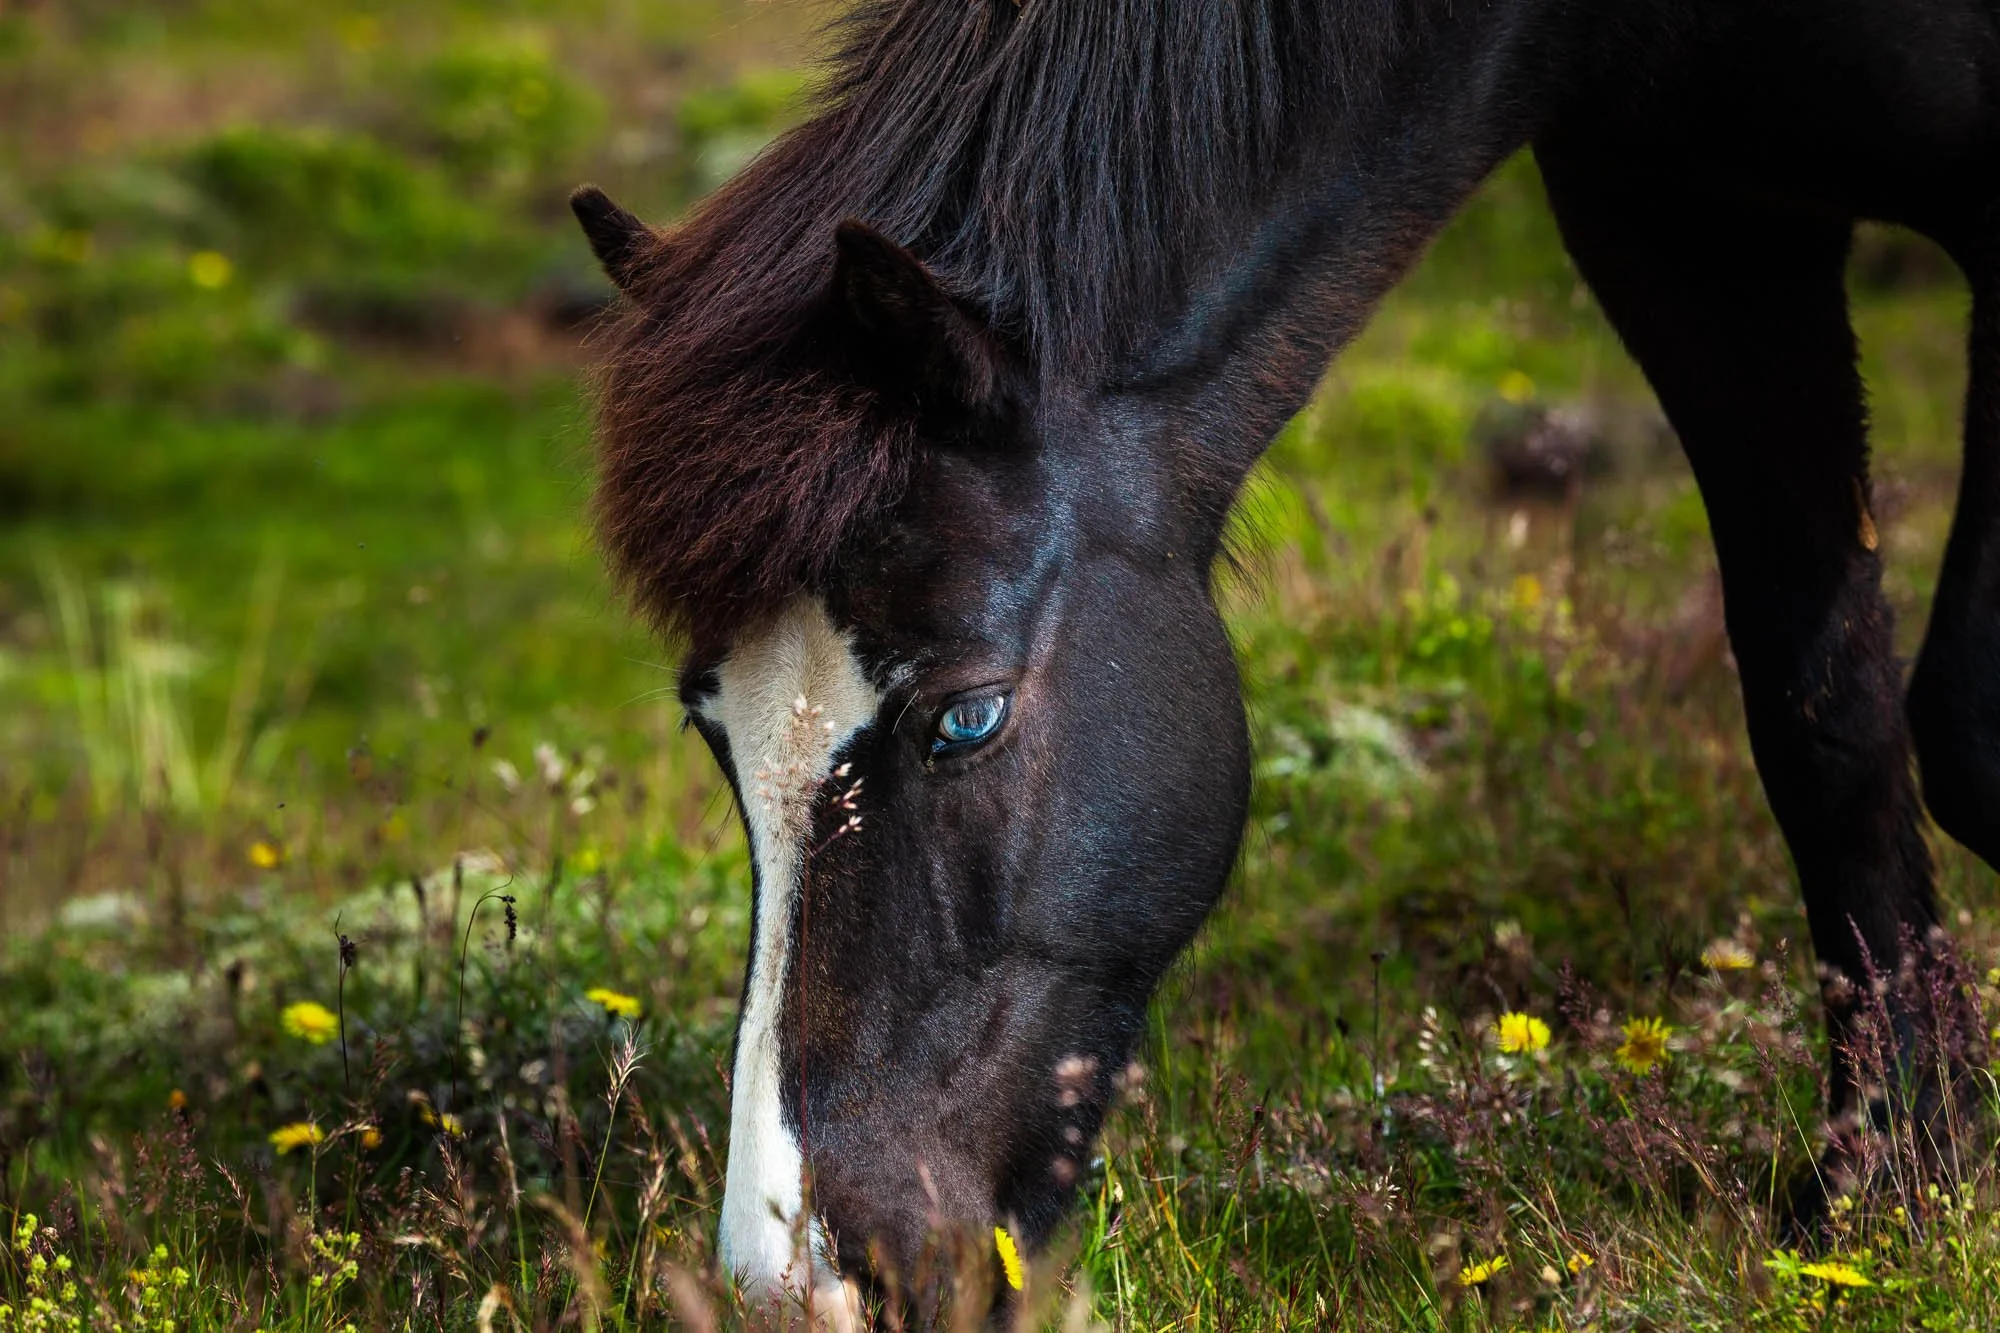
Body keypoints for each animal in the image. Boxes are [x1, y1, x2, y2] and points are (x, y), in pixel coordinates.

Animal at [572, 0, 2000, 1318]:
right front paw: (1890, 1182)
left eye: (965, 719)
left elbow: (1958, 733)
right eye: (710, 727)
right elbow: (1823, 716)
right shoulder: (1682, 223)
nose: (797, 1284)